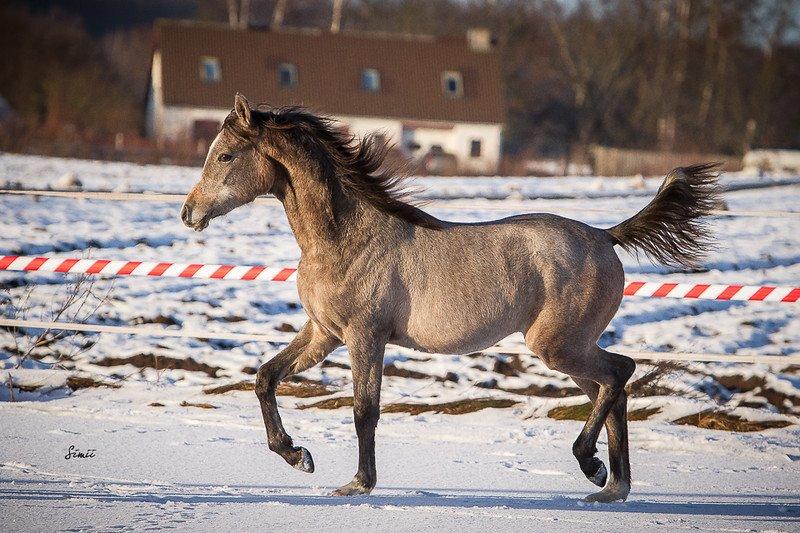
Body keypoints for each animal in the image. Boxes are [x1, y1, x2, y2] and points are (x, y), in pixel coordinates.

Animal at [181, 93, 720, 500]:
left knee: (619, 372)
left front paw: (357, 484)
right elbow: (265, 378)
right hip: (569, 348)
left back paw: (591, 466)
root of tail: (606, 237)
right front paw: (298, 457)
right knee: (614, 386)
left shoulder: (364, 337)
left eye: (225, 155)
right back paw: (609, 486)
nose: (189, 213)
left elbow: (363, 411)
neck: (343, 237)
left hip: (557, 345)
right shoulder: (322, 334)